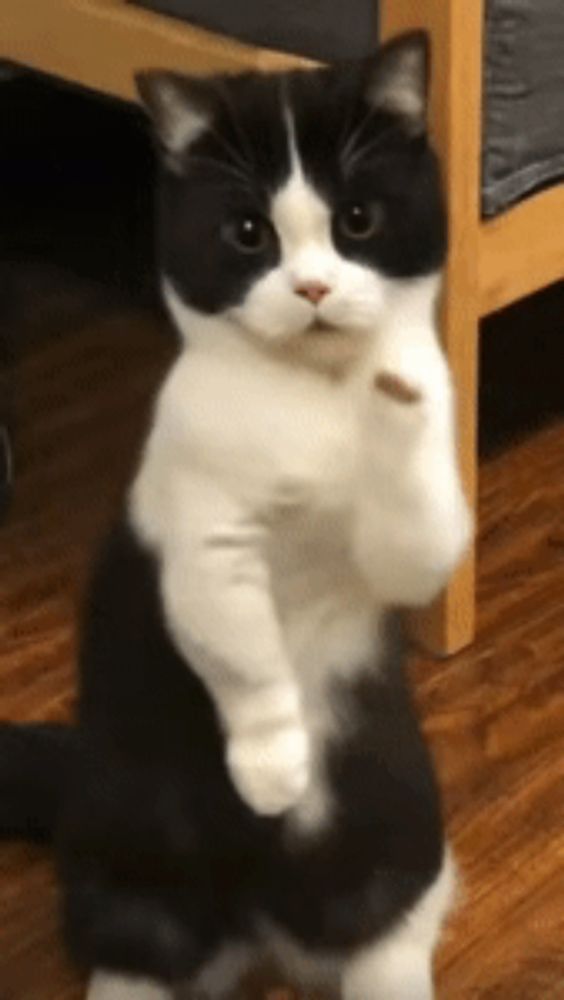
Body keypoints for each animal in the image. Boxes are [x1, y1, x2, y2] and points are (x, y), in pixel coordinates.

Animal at [0, 31, 472, 1000]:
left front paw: (395, 392)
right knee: (135, 948)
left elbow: (414, 538)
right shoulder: (199, 532)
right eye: (249, 234)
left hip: (401, 807)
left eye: (357, 221)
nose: (315, 288)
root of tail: (264, 931)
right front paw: (273, 771)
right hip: (130, 852)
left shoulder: (414, 541)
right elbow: (241, 647)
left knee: (397, 917)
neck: (309, 396)